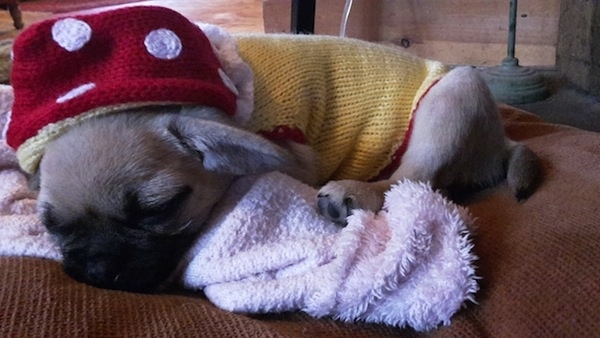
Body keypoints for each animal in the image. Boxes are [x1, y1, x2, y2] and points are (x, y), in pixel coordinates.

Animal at [4, 7, 540, 294]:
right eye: (53, 225)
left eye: (159, 209)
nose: (96, 269)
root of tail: (502, 139)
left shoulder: (293, 154)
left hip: (456, 92)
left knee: (413, 179)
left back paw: (356, 192)